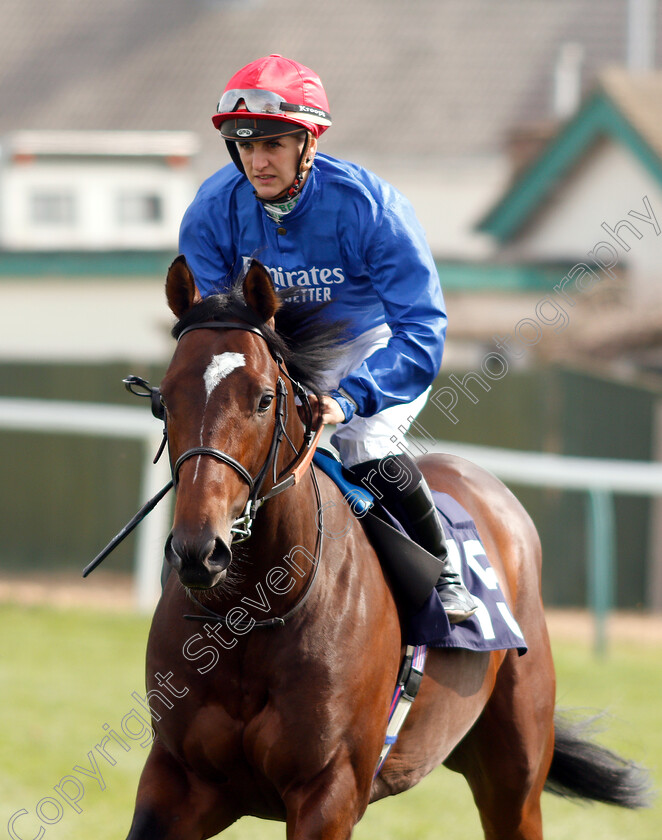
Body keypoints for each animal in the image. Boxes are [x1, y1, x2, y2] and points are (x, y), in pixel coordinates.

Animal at [126, 258, 652, 840]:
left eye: (263, 398)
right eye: (163, 400)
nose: (201, 550)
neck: (253, 614)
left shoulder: (329, 791)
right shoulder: (178, 780)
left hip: (515, 774)